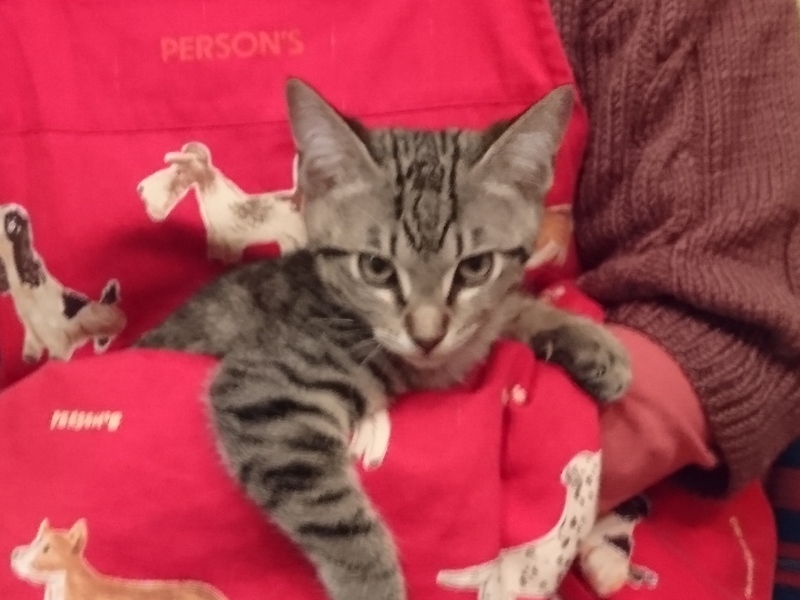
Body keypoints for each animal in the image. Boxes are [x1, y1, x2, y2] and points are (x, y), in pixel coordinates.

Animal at [135, 78, 632, 600]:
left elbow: (500, 312)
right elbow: (334, 514)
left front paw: (588, 341)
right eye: (375, 267)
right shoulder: (265, 389)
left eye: (475, 267)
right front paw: (374, 584)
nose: (427, 335)